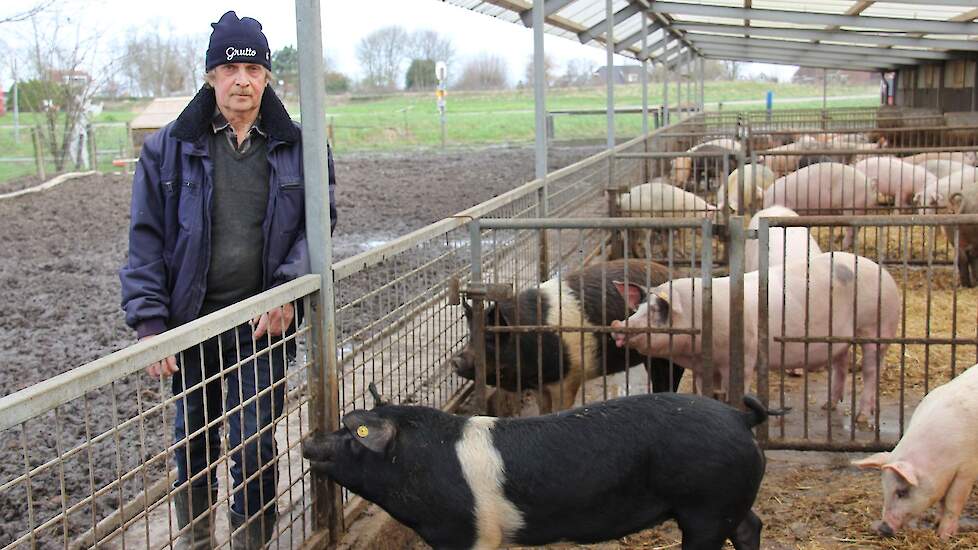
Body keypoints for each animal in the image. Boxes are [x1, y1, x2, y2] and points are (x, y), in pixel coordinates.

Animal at [304, 384, 776, 550]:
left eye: (352, 436)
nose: (309, 440)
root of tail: (740, 418)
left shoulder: (465, 534)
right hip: (726, 502)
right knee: (751, 525)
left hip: (706, 505)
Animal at [448, 260, 684, 416]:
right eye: (470, 334)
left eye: (490, 337)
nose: (455, 360)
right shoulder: (541, 383)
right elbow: (543, 408)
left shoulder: (567, 378)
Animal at [608, 252, 900, 424]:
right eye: (638, 308)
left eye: (656, 310)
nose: (618, 324)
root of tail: (885, 274)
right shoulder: (704, 367)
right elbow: (707, 392)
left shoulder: (742, 357)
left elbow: (734, 391)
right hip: (840, 339)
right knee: (841, 364)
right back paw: (828, 406)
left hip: (876, 327)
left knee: (871, 369)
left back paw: (862, 418)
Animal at [852, 364, 978, 540]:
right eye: (884, 489)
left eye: (902, 492)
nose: (883, 529)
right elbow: (942, 502)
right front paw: (935, 525)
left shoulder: (966, 470)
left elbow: (953, 502)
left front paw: (944, 537)